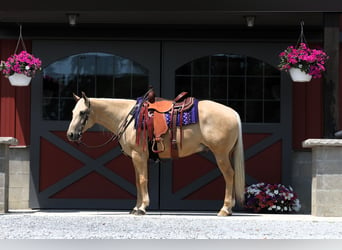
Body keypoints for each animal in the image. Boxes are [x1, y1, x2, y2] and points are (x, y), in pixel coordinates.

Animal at [67, 91, 244, 216]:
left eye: (82, 112)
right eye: (73, 112)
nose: (71, 135)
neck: (128, 117)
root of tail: (233, 113)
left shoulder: (139, 155)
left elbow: (142, 180)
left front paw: (142, 208)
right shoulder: (136, 158)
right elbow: (137, 181)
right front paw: (136, 207)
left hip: (221, 154)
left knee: (229, 175)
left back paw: (225, 209)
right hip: (227, 154)